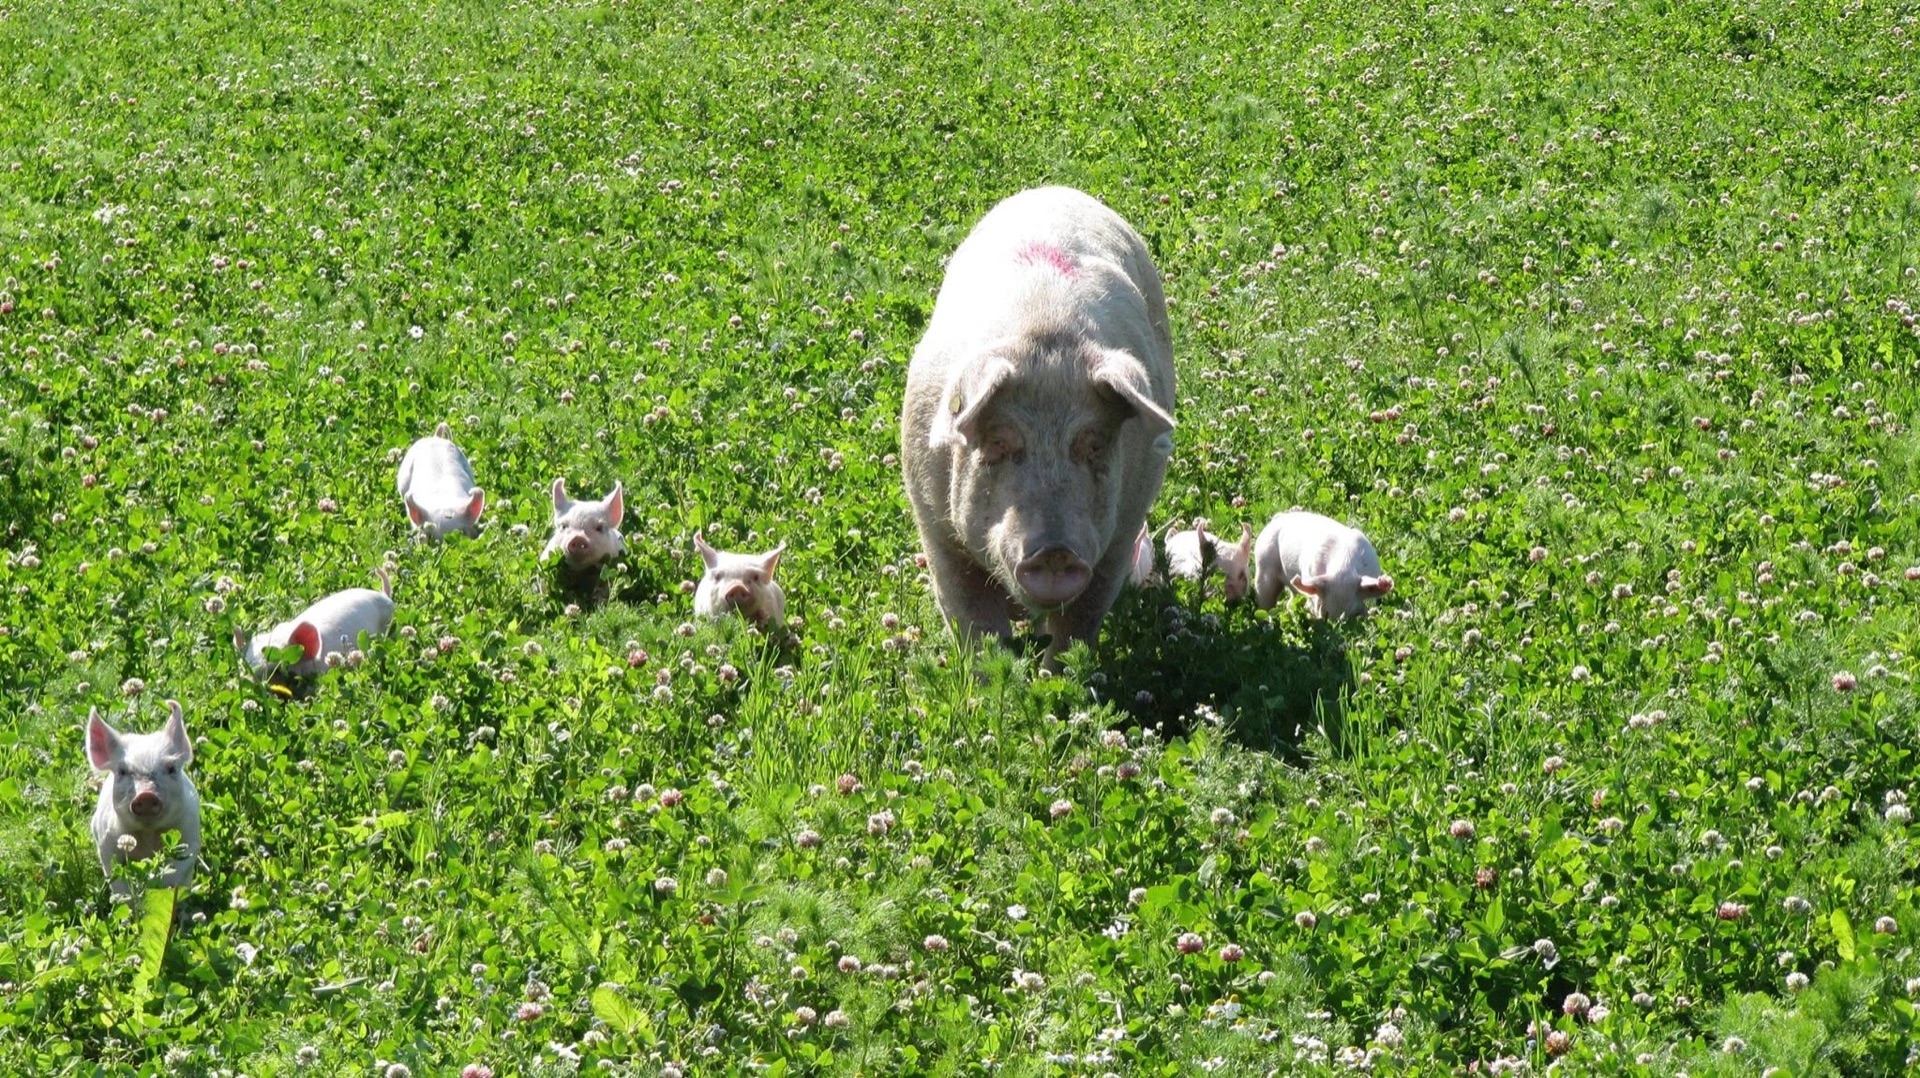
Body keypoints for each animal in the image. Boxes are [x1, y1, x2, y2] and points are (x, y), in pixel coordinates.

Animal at [87, 700, 201, 894]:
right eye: (122, 771)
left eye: (171, 768)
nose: (146, 795)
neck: (148, 836)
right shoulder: (106, 843)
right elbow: (118, 881)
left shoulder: (190, 835)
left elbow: (176, 872)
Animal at [901, 186, 1176, 654]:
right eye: (998, 443)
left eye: (1094, 444)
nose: (1055, 551)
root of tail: (1057, 189)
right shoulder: (936, 532)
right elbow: (975, 628)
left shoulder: (1120, 535)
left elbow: (1077, 630)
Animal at [1253, 511, 1394, 619]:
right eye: (1325, 612)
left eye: (1353, 613)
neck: (1344, 563)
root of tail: (1279, 517)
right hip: (1263, 561)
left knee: (1289, 603)